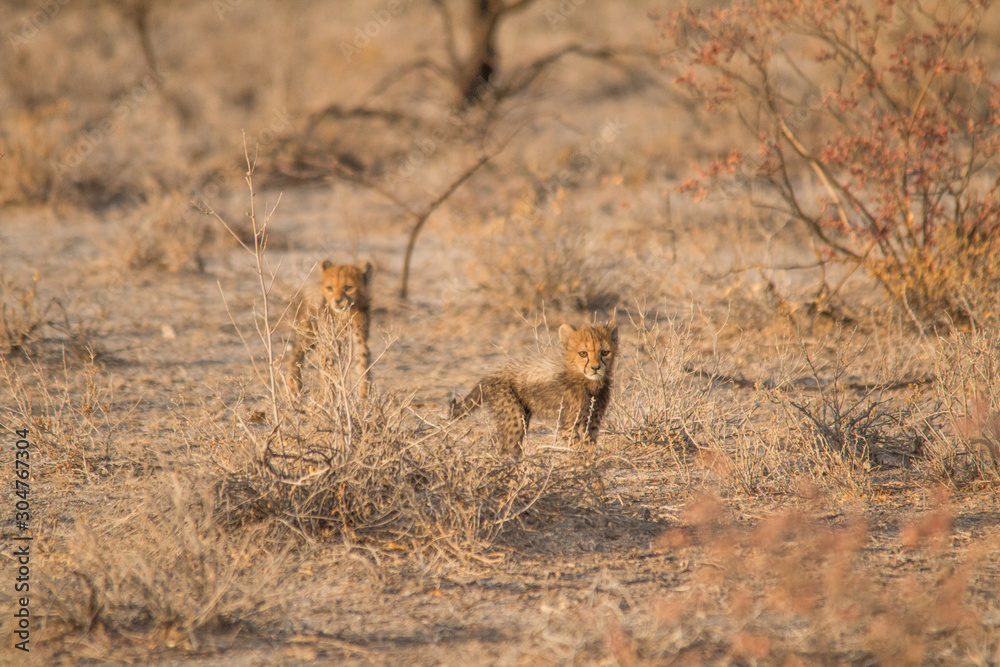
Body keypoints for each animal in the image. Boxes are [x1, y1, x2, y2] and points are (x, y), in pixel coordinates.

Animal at [288, 260, 372, 398]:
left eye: (348, 287)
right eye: (329, 288)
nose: (337, 301)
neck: (342, 315)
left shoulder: (359, 338)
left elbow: (362, 361)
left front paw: (364, 395)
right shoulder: (328, 342)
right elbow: (329, 368)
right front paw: (328, 397)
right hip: (308, 333)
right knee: (296, 354)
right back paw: (293, 386)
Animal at [449, 322, 618, 456]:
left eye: (605, 352)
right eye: (583, 353)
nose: (595, 368)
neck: (588, 382)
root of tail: (492, 372)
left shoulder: (593, 421)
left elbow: (590, 446)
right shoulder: (570, 425)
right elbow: (577, 448)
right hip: (514, 416)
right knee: (507, 445)